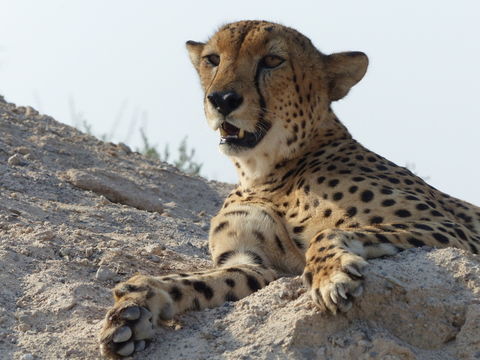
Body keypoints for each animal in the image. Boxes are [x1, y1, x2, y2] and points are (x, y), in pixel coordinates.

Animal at [98, 21, 480, 358]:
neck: (265, 173)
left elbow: (325, 233)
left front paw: (329, 275)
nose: (222, 99)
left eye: (272, 60)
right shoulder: (253, 264)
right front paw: (134, 308)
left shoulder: (455, 230)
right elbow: (195, 280)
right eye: (213, 59)